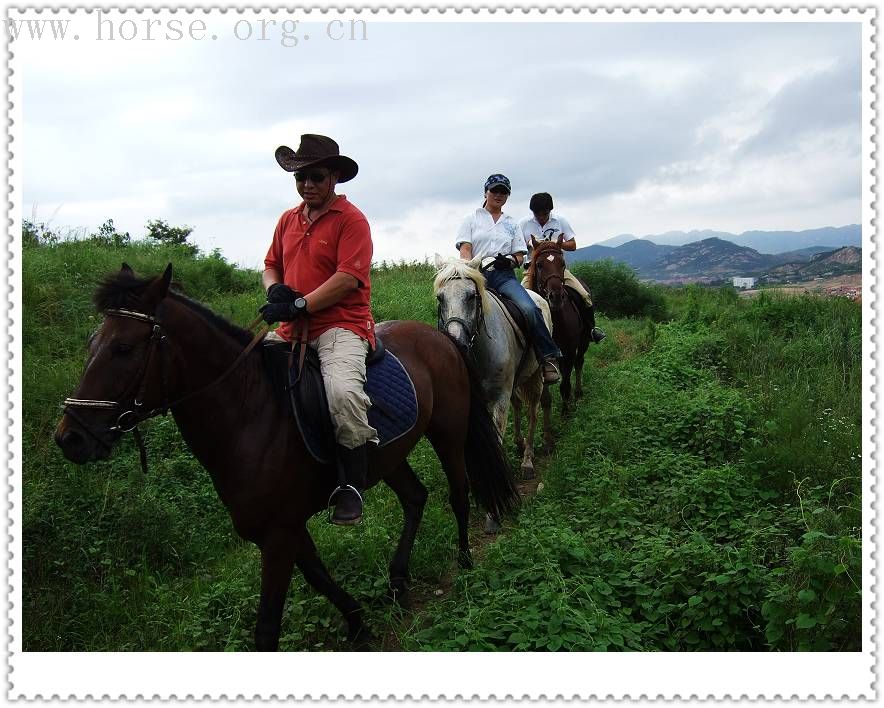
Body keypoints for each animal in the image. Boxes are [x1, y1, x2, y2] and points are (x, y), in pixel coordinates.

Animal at [55, 264, 516, 648]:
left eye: (123, 349)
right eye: (93, 343)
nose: (70, 438)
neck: (249, 411)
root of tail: (444, 338)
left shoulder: (277, 534)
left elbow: (267, 626)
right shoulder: (282, 527)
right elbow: (319, 576)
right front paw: (358, 623)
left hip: (448, 435)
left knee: (458, 494)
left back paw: (464, 561)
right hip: (388, 454)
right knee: (415, 498)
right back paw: (398, 580)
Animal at [432, 258, 548, 484]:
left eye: (471, 296)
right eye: (440, 298)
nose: (456, 342)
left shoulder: (500, 398)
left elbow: (496, 439)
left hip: (536, 375)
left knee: (532, 413)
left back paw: (527, 460)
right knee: (518, 406)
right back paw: (519, 444)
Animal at [524, 239, 592, 414]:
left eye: (562, 263)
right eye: (539, 265)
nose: (555, 296)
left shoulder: (569, 351)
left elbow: (565, 384)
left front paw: (566, 412)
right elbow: (545, 395)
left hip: (584, 340)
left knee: (579, 362)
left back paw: (578, 393)